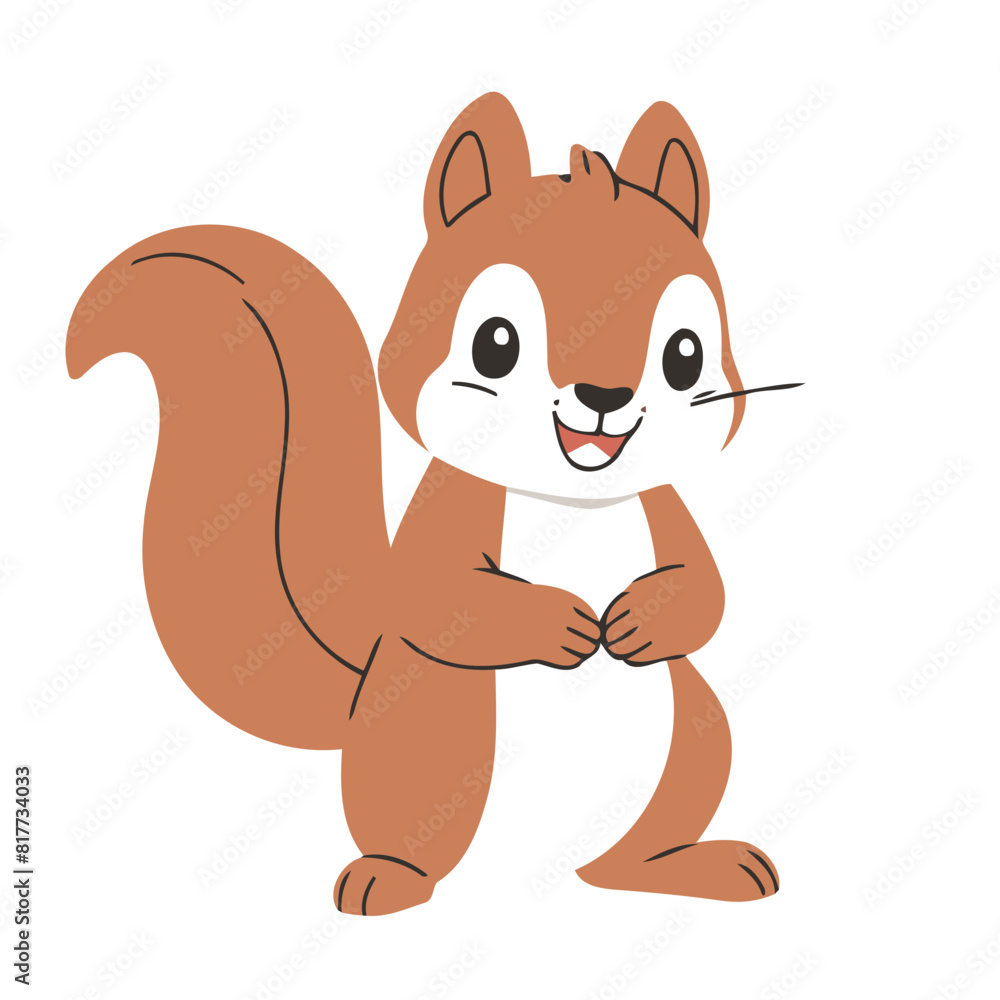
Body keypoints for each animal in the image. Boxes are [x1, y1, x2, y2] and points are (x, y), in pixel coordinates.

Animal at [67, 93, 798, 915]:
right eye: (495, 343)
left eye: (685, 354)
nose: (604, 395)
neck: (570, 497)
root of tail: (548, 870)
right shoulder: (449, 509)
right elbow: (436, 594)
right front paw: (561, 621)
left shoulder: (666, 505)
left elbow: (707, 589)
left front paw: (639, 618)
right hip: (421, 749)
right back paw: (391, 877)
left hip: (696, 739)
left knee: (632, 857)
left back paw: (696, 866)